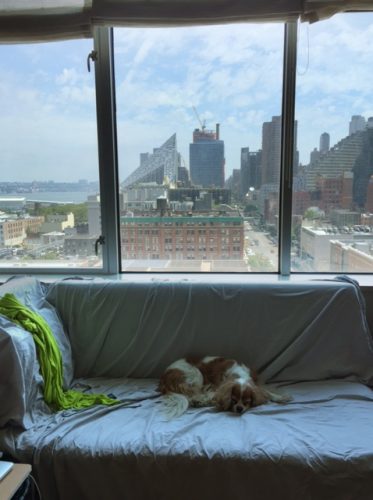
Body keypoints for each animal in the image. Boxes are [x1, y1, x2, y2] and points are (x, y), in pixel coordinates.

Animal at [158, 356, 290, 418]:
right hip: (195, 373)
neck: (239, 373)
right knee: (192, 395)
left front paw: (280, 397)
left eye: (247, 401)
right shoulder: (217, 387)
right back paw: (199, 401)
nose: (239, 408)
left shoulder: (255, 384)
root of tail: (163, 377)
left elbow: (265, 391)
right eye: (233, 400)